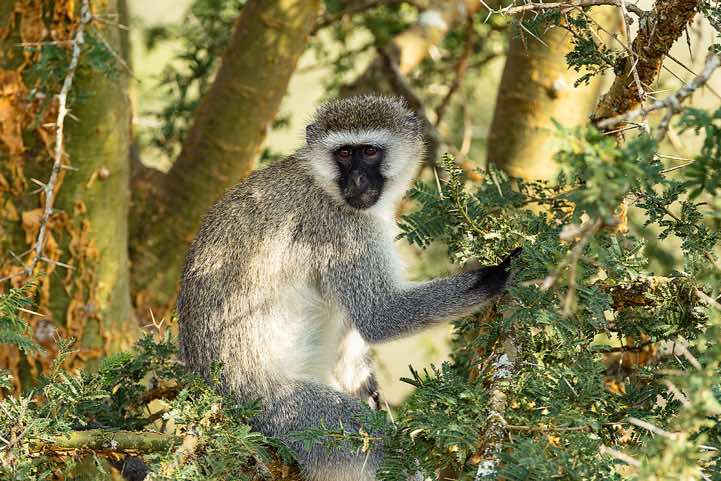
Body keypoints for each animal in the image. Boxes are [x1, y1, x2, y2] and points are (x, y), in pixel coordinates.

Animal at [177, 95, 518, 481]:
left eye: (369, 151)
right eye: (343, 154)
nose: (356, 179)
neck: (322, 182)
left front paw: (368, 388)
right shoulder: (343, 230)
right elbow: (379, 316)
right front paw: (497, 274)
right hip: (281, 411)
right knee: (369, 437)